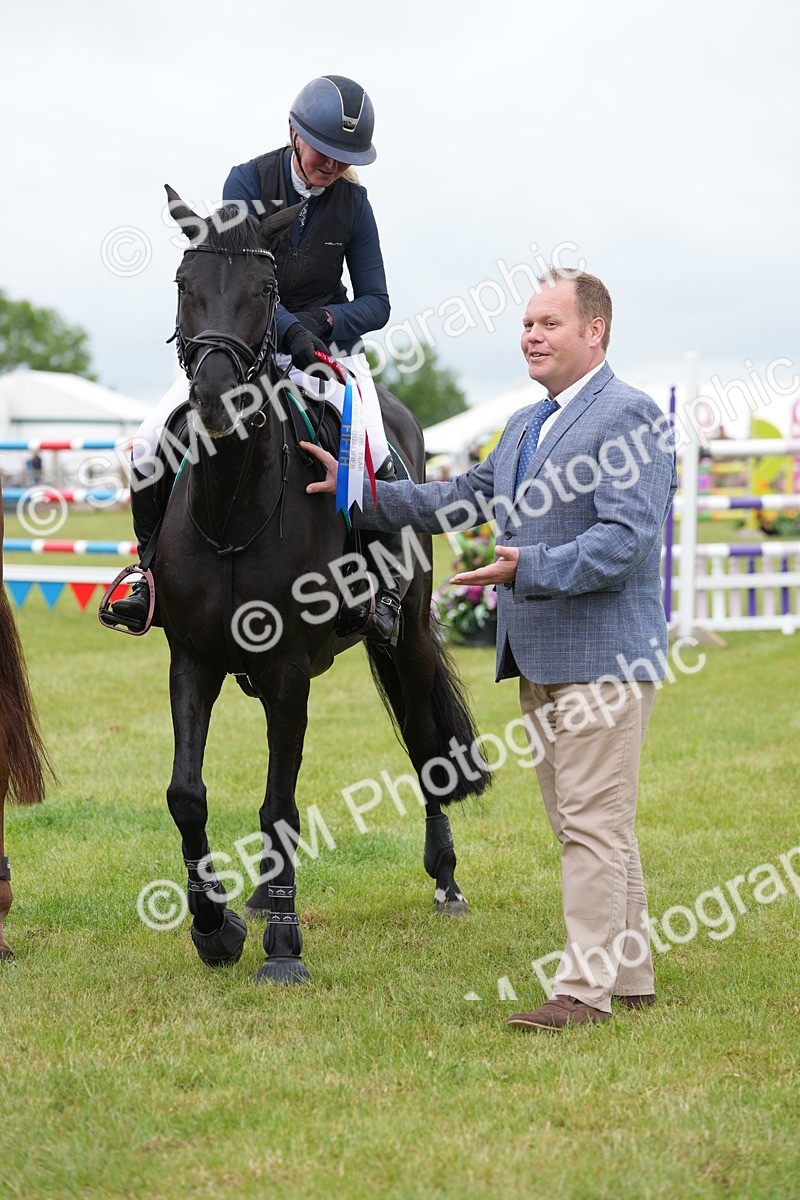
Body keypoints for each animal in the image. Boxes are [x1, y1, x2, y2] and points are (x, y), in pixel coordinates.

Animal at [137, 187, 491, 984]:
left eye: (266, 292)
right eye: (183, 282)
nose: (215, 400)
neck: (233, 508)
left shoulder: (288, 669)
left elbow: (278, 807)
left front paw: (282, 948)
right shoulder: (192, 660)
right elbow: (187, 795)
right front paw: (215, 928)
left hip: (407, 638)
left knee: (425, 744)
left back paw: (446, 881)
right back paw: (262, 895)